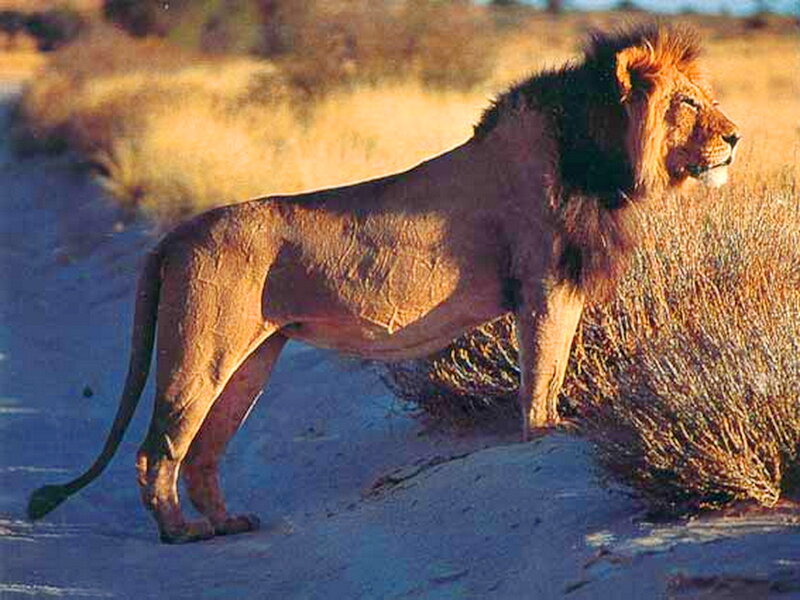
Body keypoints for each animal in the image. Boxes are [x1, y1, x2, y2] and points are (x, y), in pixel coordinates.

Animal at [28, 24, 739, 543]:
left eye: (705, 99)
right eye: (688, 103)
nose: (736, 137)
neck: (598, 157)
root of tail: (177, 232)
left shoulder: (556, 288)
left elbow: (557, 364)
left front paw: (554, 424)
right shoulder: (543, 284)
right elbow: (543, 368)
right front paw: (545, 432)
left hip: (252, 359)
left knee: (203, 452)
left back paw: (226, 523)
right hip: (200, 351)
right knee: (158, 450)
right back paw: (180, 533)